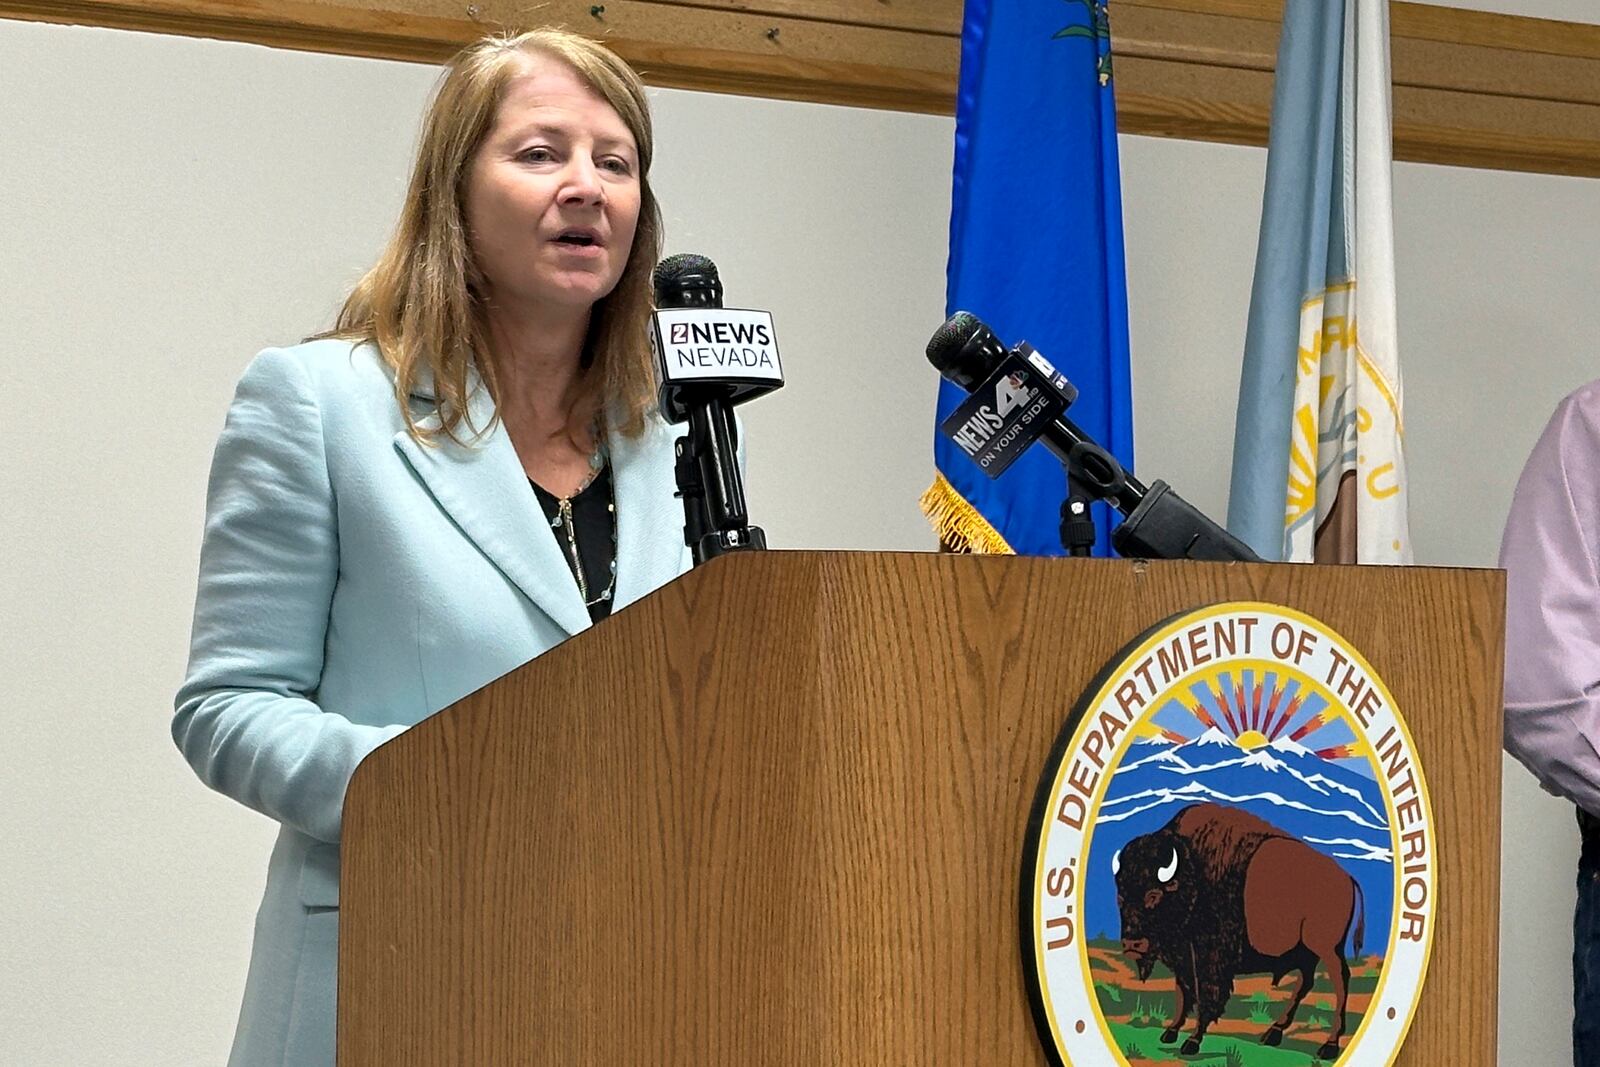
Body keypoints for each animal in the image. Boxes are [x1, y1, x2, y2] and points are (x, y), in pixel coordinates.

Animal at [1113, 799, 1363, 1062]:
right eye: (1121, 898)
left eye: (1153, 894)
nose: (1132, 944)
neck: (1191, 870)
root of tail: (1347, 878)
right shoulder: (1183, 956)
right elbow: (1183, 992)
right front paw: (1170, 1032)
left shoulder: (1209, 958)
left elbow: (1206, 995)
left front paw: (1192, 1041)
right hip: (1307, 951)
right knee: (1305, 983)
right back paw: (1273, 1033)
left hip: (1328, 949)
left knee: (1340, 981)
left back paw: (1329, 1045)